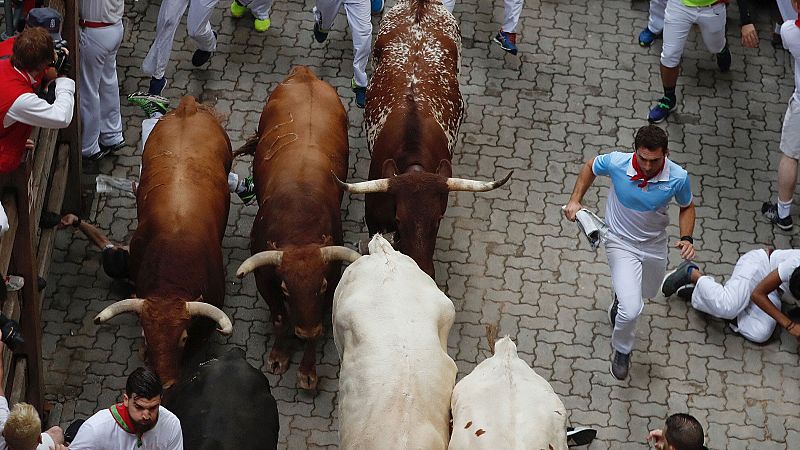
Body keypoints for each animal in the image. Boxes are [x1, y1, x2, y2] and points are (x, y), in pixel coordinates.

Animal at [234, 65, 360, 392]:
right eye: (285, 289)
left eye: (322, 286)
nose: (304, 330)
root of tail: (305, 74)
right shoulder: (265, 279)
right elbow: (279, 319)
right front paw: (279, 355)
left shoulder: (331, 274)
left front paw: (307, 370)